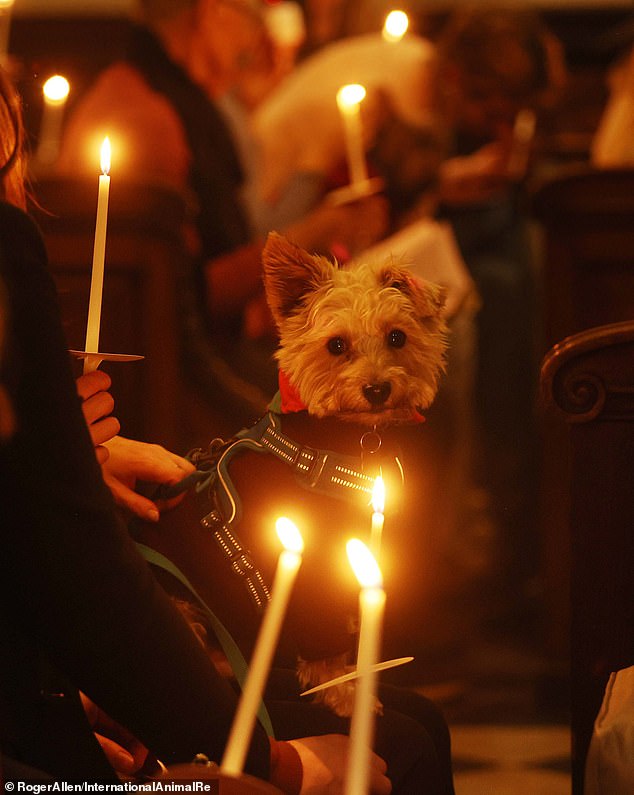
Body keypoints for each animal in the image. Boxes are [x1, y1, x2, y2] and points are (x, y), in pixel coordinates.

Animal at [136, 233, 446, 720]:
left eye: (397, 337)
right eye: (336, 345)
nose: (378, 389)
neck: (341, 436)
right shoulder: (312, 564)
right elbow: (324, 641)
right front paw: (343, 695)